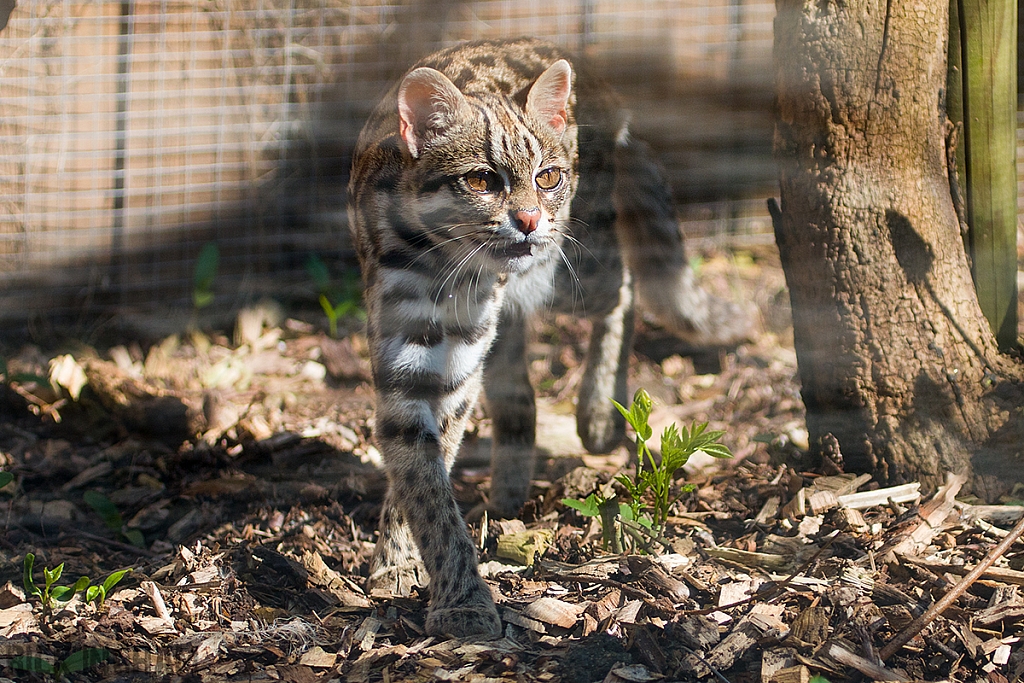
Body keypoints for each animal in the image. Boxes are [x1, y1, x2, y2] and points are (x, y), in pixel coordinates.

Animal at [348, 36, 749, 634]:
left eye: (547, 176)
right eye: (481, 180)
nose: (531, 220)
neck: (441, 260)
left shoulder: (459, 357)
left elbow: (435, 458)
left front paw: (454, 596)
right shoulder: (406, 352)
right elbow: (418, 477)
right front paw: (413, 572)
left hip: (576, 268)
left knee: (625, 289)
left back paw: (599, 413)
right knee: (516, 386)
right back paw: (510, 484)